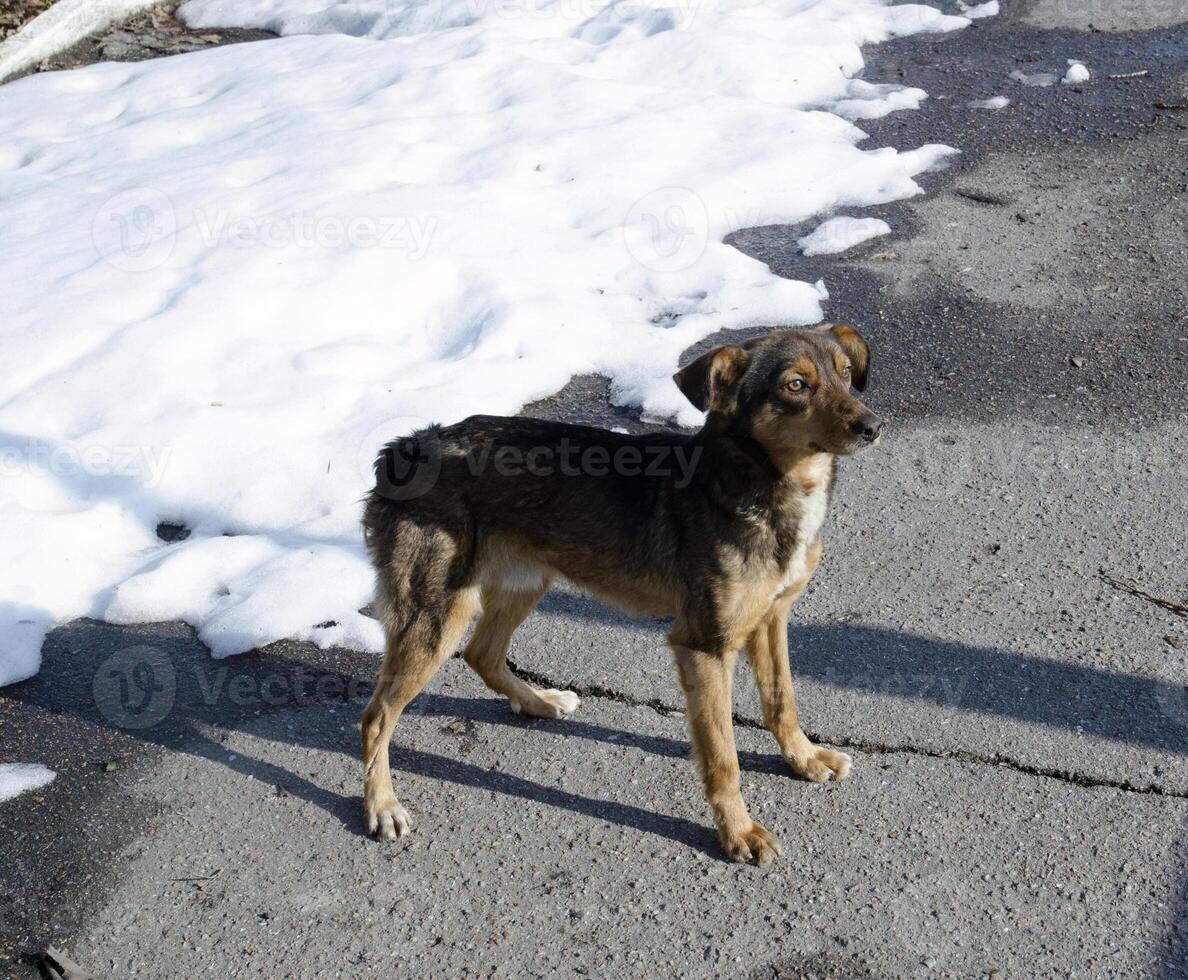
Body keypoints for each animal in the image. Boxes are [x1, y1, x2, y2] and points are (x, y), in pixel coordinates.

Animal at [361, 325, 883, 860]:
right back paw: (382, 805)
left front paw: (804, 758)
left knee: (482, 654)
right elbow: (723, 756)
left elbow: (782, 703)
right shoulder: (704, 647)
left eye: (845, 373)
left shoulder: (771, 619)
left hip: (526, 580)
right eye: (795, 385)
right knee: (376, 717)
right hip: (437, 617)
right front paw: (738, 832)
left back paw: (539, 702)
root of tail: (407, 447)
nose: (873, 426)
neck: (762, 480)